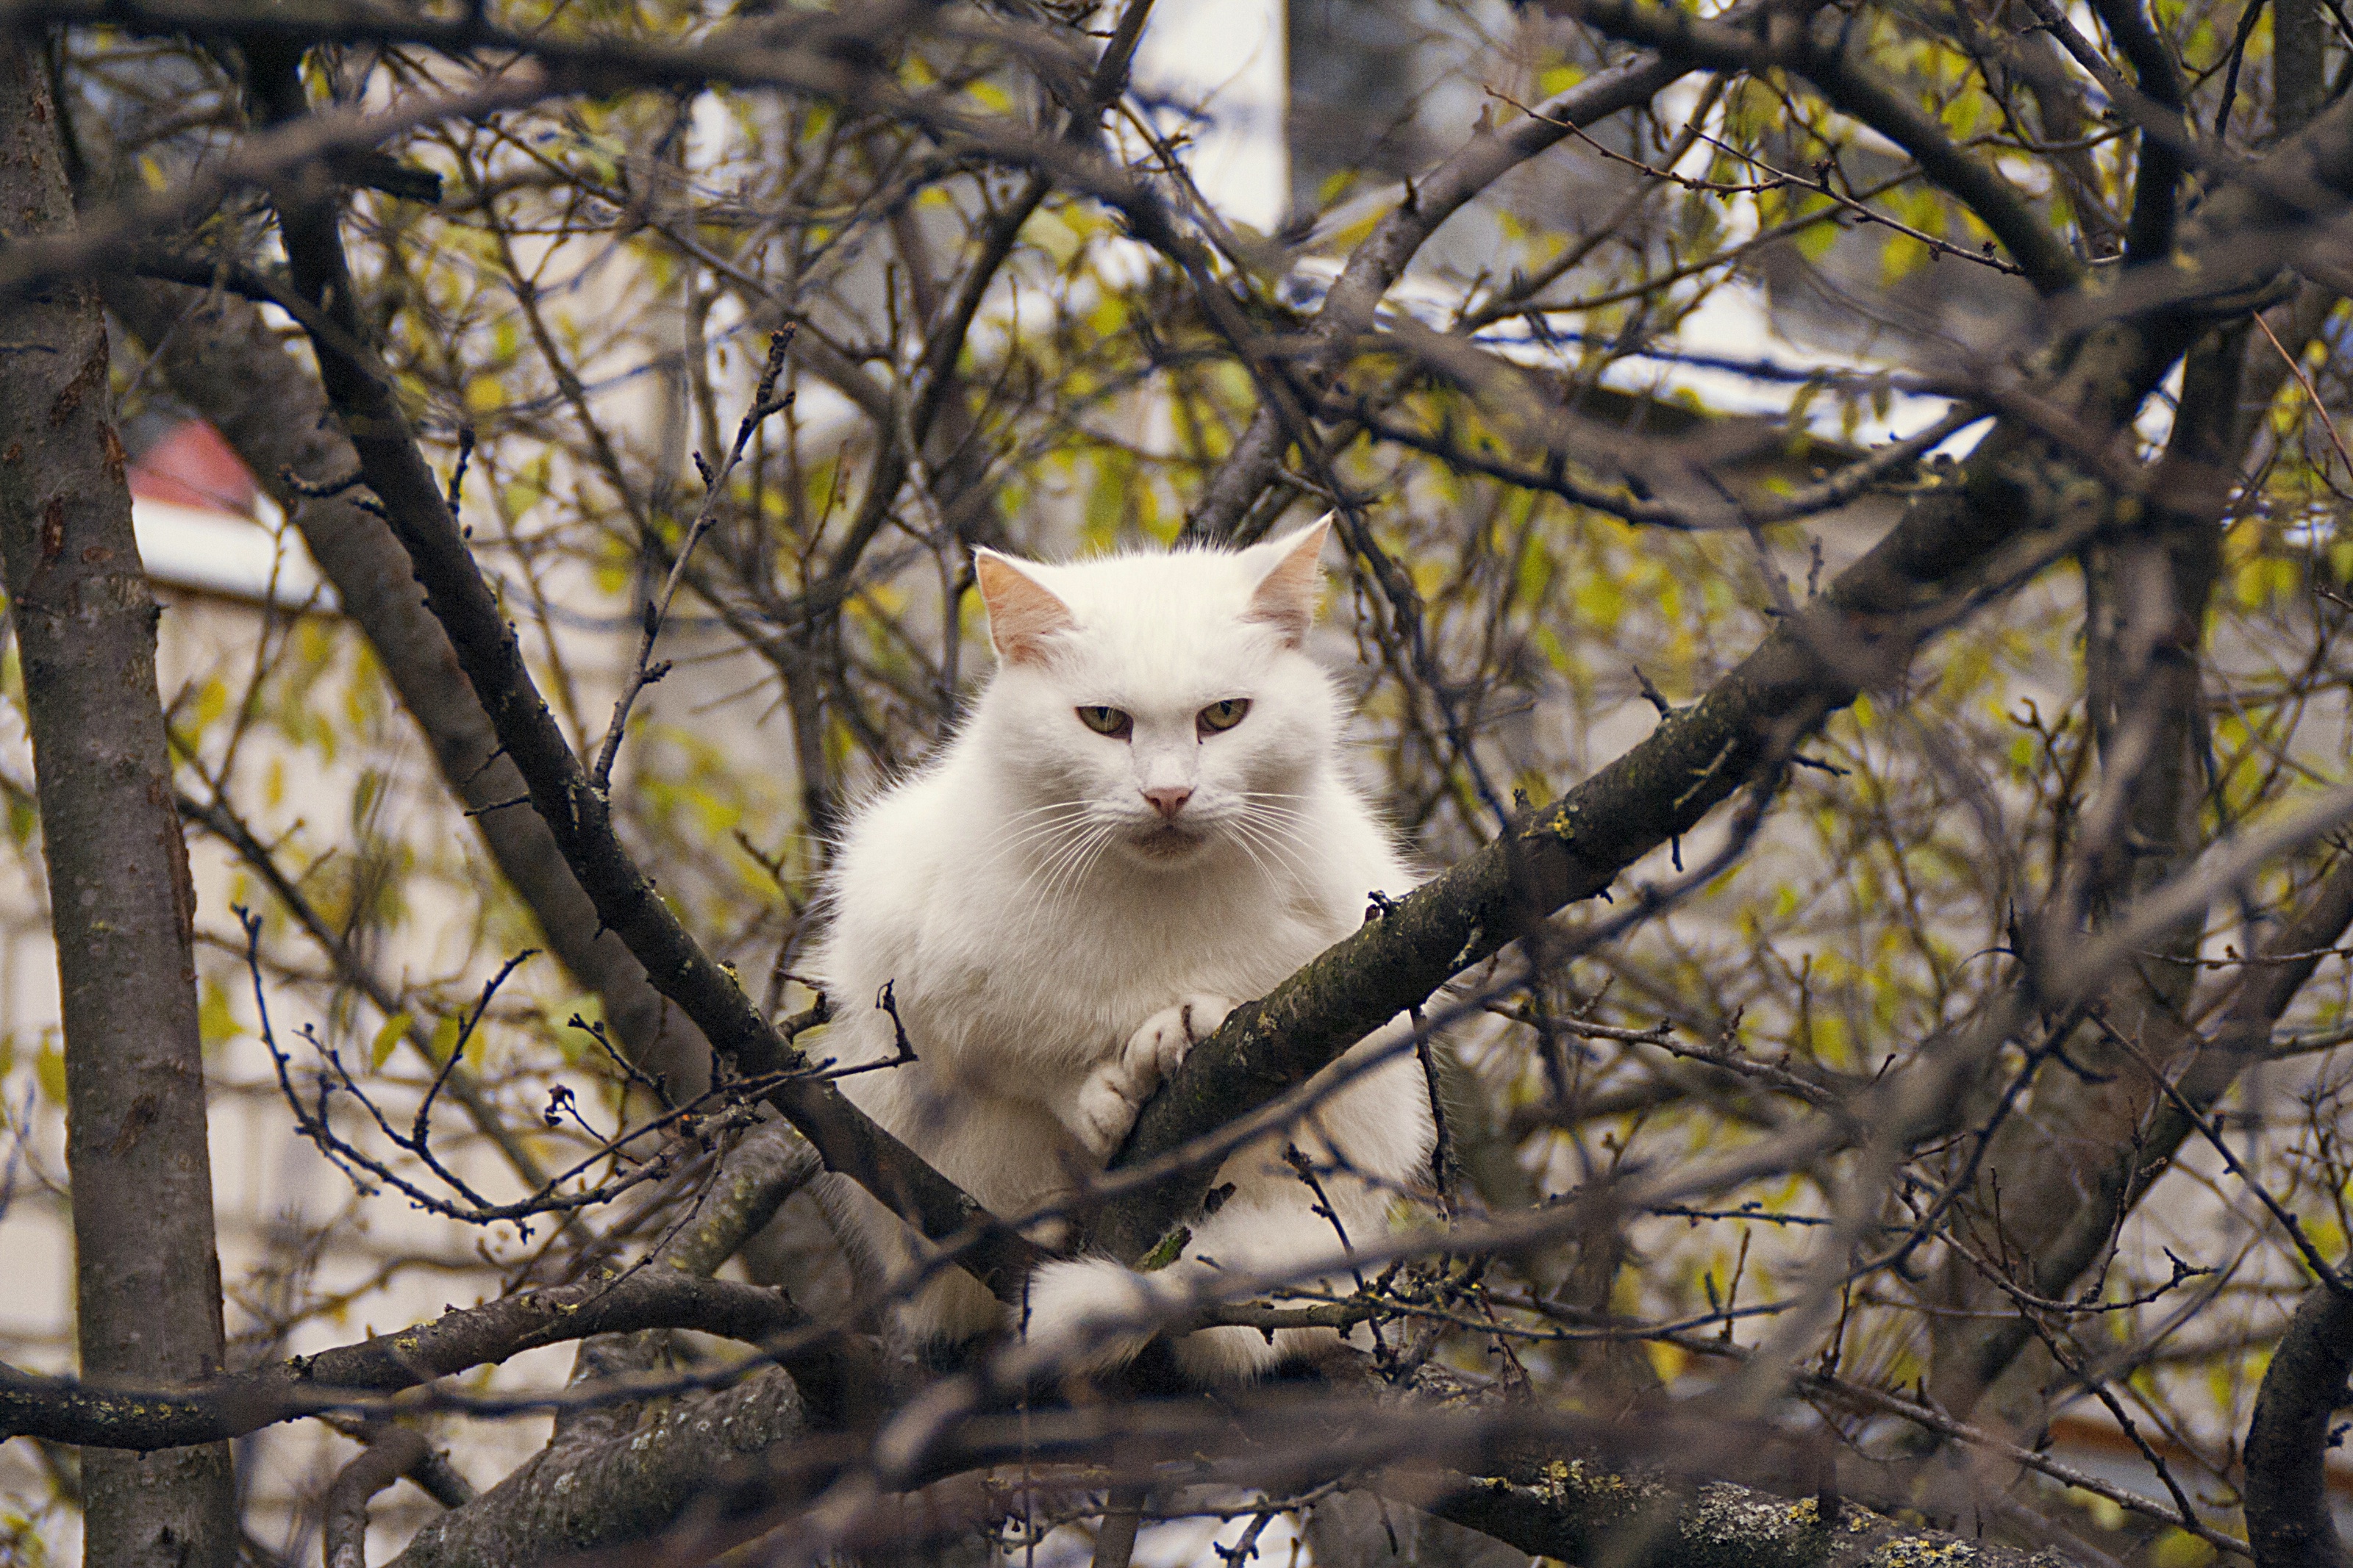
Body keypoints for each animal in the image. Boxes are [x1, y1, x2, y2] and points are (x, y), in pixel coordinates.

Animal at [809, 521, 1430, 1382]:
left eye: (1224, 715)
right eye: (1103, 719)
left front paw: (1185, 1026)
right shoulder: (923, 980)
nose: (1167, 795)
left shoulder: (1341, 986)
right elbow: (1032, 1062)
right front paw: (1105, 1092)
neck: (1153, 906)